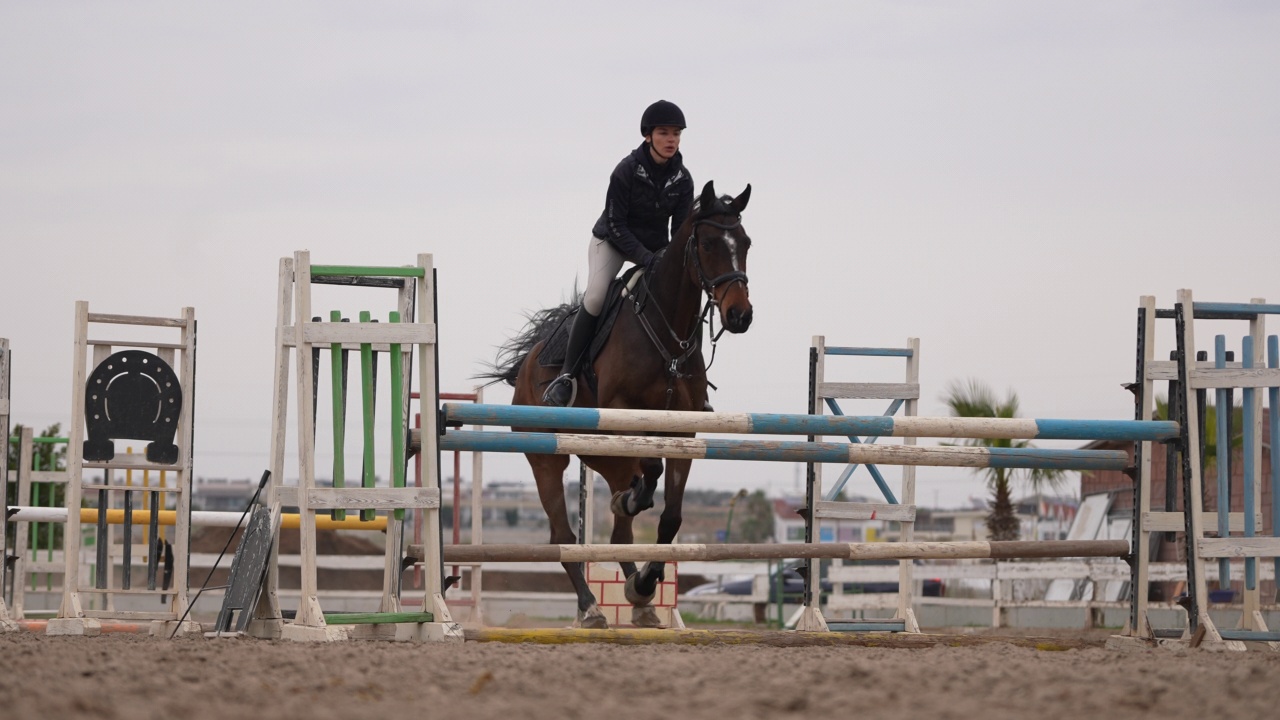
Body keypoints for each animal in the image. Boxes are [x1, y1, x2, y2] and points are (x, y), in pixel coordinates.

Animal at [483, 180, 752, 627]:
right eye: (709, 243)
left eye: (746, 243)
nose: (739, 316)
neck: (669, 337)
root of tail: (528, 363)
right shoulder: (623, 415)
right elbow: (651, 472)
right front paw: (633, 507)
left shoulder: (683, 430)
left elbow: (670, 516)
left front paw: (644, 583)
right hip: (549, 457)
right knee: (564, 536)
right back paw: (591, 606)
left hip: (601, 451)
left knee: (620, 530)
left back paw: (639, 597)